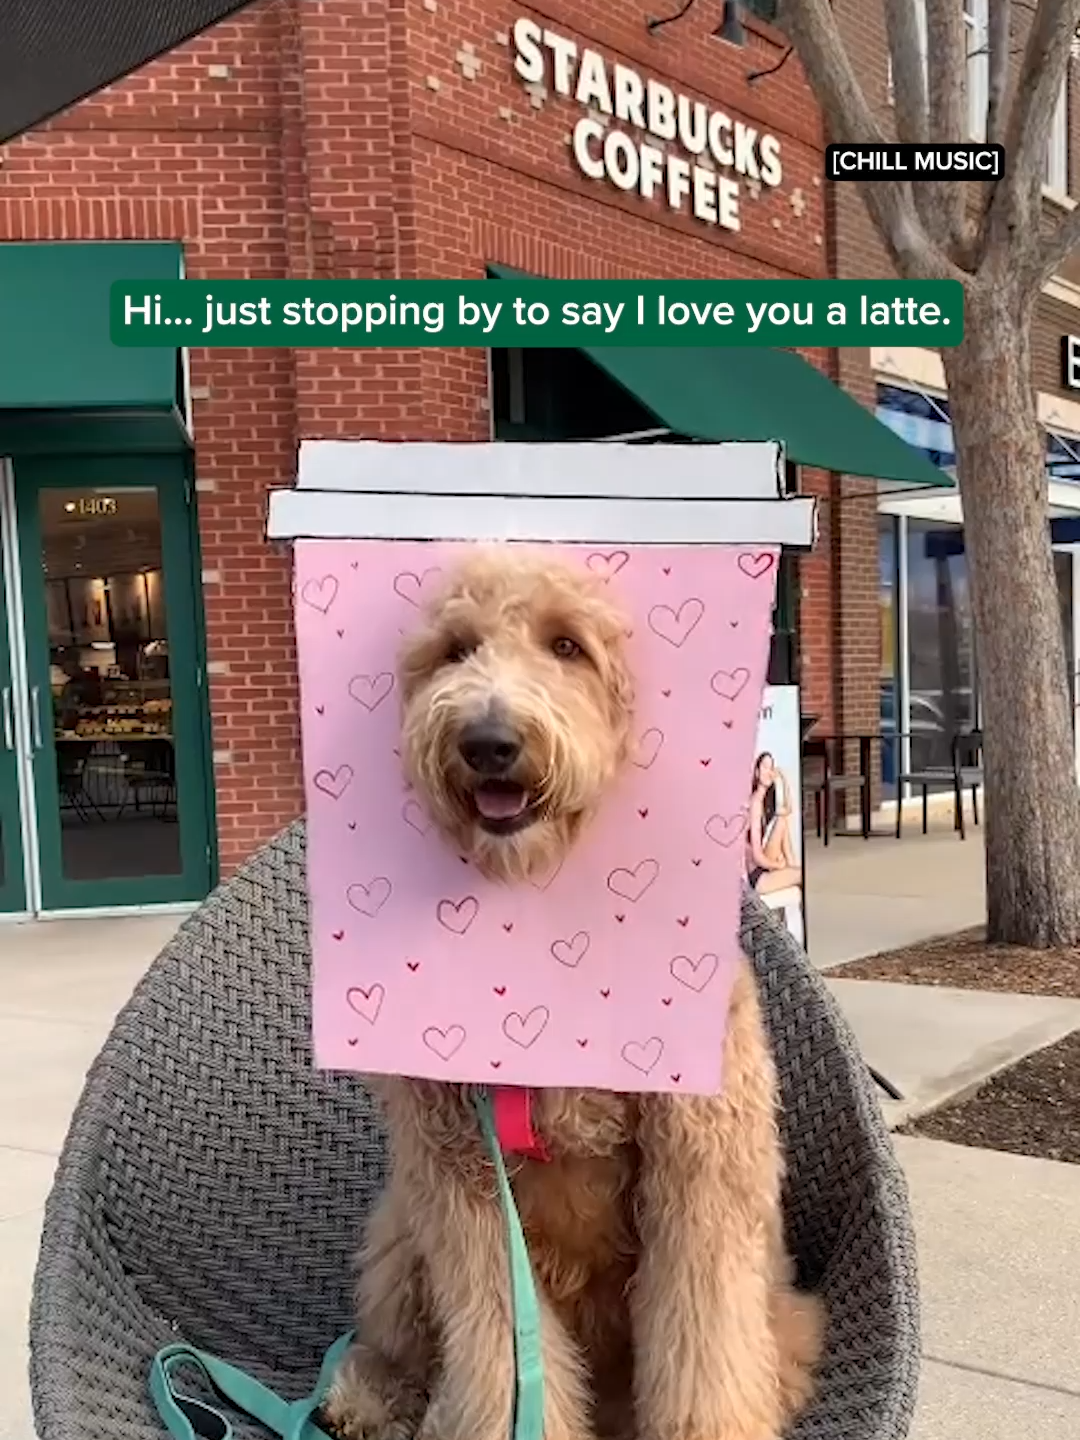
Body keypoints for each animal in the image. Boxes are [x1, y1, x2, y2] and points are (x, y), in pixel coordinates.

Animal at [325, 544, 823, 1434]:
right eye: (455, 649)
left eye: (567, 646)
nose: (488, 741)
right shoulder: (463, 1188)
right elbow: (501, 1361)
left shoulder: (699, 1170)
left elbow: (704, 1346)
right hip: (401, 1230)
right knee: (405, 1343)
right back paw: (369, 1396)